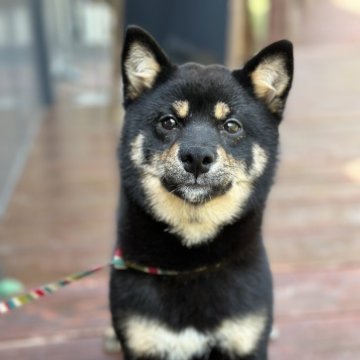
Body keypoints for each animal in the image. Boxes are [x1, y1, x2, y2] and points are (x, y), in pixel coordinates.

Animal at [109, 26, 292, 360]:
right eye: (168, 121)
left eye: (231, 126)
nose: (196, 156)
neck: (190, 265)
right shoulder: (142, 343)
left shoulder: (245, 342)